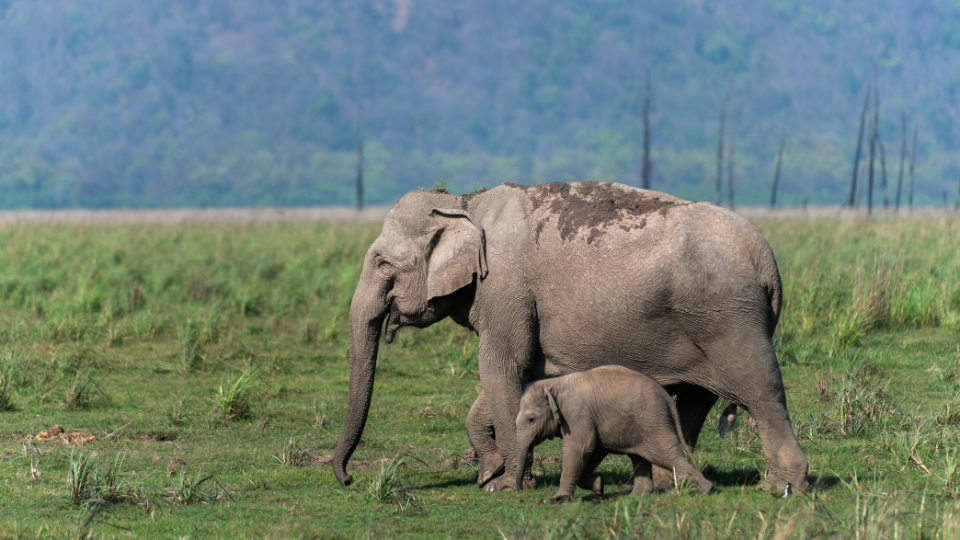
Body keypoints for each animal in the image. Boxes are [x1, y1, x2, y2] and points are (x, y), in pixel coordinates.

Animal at [516, 364, 712, 504]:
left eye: (531, 419)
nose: (520, 489)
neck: (553, 383)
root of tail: (668, 399)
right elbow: (594, 450)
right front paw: (599, 486)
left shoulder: (576, 413)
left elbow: (581, 448)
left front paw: (559, 499)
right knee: (639, 457)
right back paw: (635, 497)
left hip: (653, 423)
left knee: (664, 455)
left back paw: (705, 491)